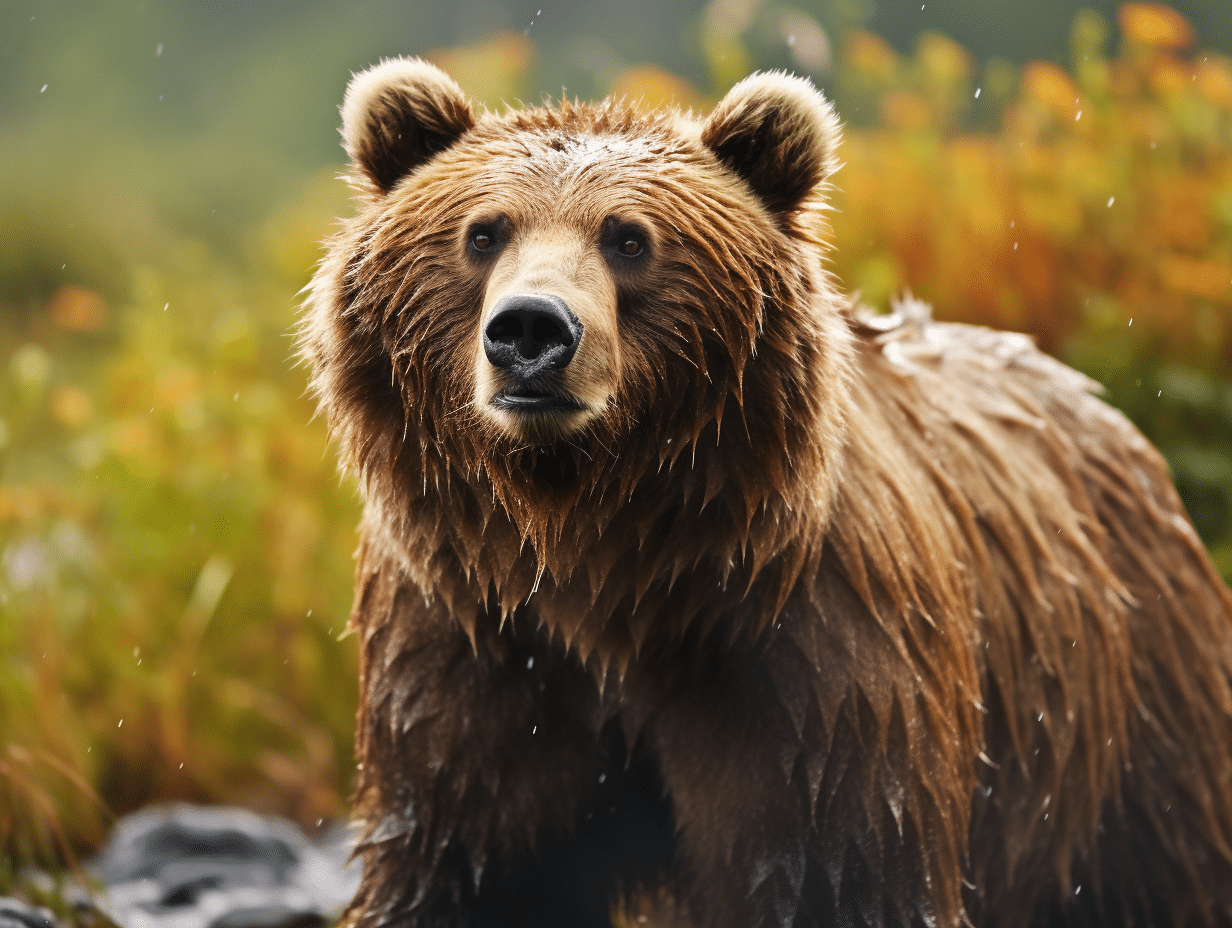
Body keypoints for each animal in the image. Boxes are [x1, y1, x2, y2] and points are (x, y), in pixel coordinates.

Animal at [300, 57, 1232, 928]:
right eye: (484, 232)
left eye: (629, 239)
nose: (532, 329)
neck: (602, 558)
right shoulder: (473, 651)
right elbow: (465, 864)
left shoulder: (810, 662)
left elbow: (841, 866)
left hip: (1132, 702)